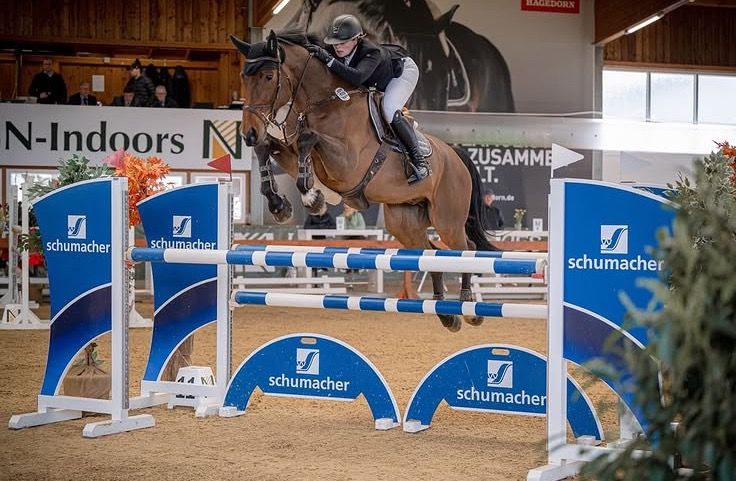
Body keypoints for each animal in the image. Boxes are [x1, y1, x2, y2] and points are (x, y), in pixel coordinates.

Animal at [230, 31, 496, 332]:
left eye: (267, 76)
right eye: (243, 76)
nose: (249, 133)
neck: (325, 102)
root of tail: (456, 155)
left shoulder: (347, 163)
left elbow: (308, 139)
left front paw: (312, 198)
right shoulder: (294, 151)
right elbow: (271, 147)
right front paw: (282, 205)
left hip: (447, 219)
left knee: (466, 249)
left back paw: (468, 308)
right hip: (404, 222)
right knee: (432, 253)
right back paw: (446, 313)